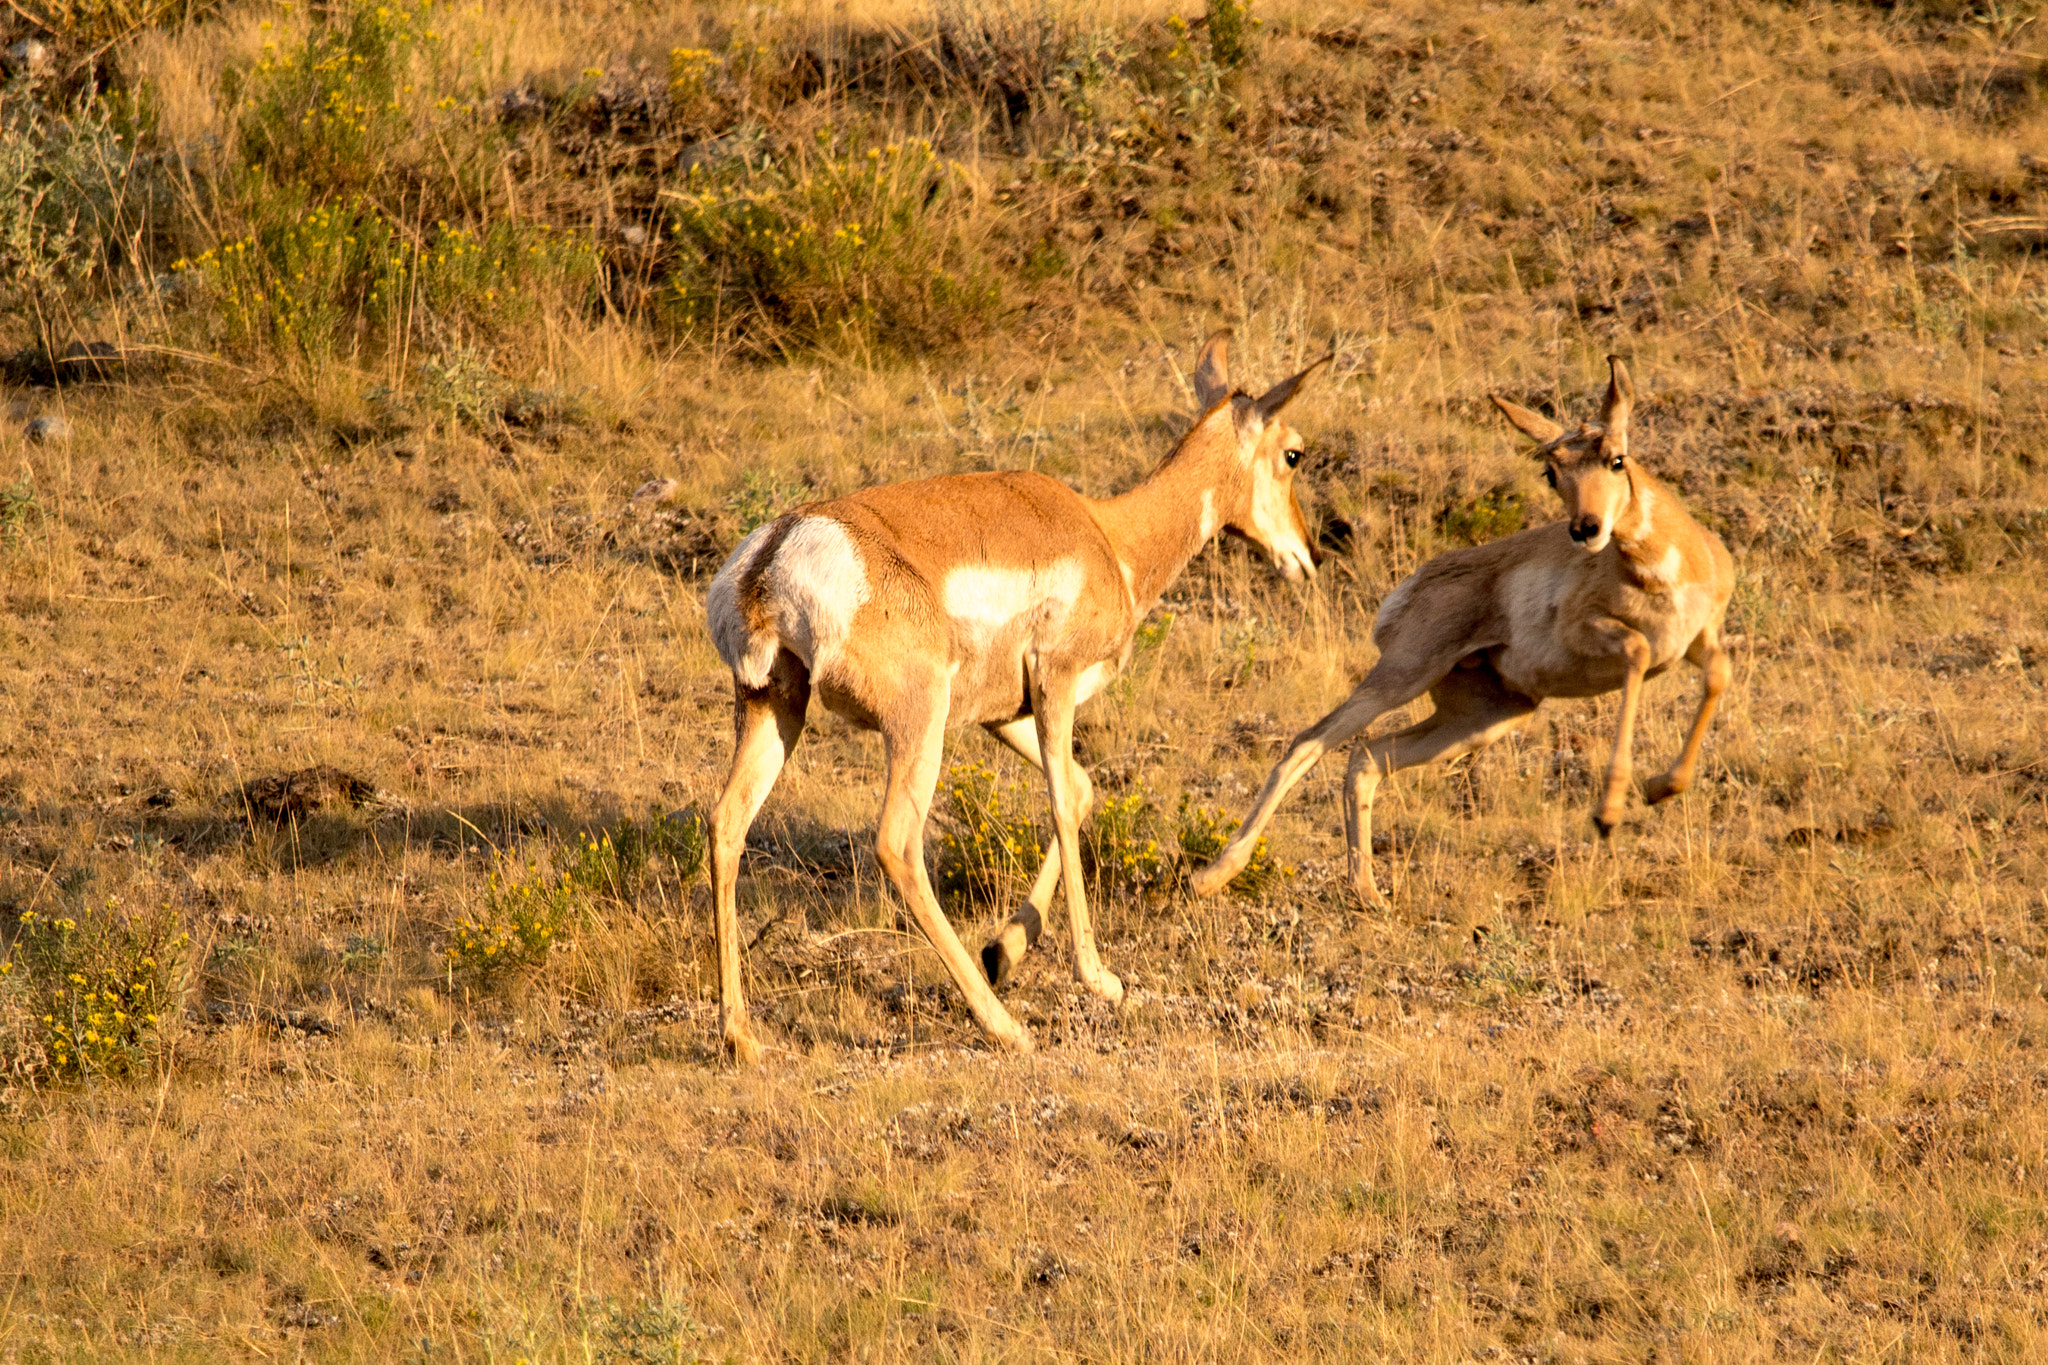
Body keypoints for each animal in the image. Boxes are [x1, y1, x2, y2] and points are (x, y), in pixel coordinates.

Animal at [704, 333, 1329, 1062]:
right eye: (1294, 453)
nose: (1310, 554)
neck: (1110, 535)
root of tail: (774, 555)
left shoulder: (1002, 716)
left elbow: (1081, 790)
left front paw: (1004, 949)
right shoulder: (1055, 685)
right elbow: (1060, 804)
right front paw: (1100, 978)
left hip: (775, 710)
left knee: (726, 823)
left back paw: (741, 1035)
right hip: (916, 725)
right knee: (896, 843)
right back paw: (1002, 1024)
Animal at [1188, 356, 1735, 909]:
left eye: (1617, 459)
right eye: (1551, 471)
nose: (1586, 529)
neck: (1667, 565)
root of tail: (1414, 585)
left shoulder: (1700, 639)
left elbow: (1718, 675)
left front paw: (1662, 787)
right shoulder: (1600, 633)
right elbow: (1639, 650)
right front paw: (1609, 812)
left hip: (1484, 718)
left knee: (1368, 756)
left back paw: (1368, 891)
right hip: (1406, 677)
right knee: (1309, 742)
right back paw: (1212, 875)